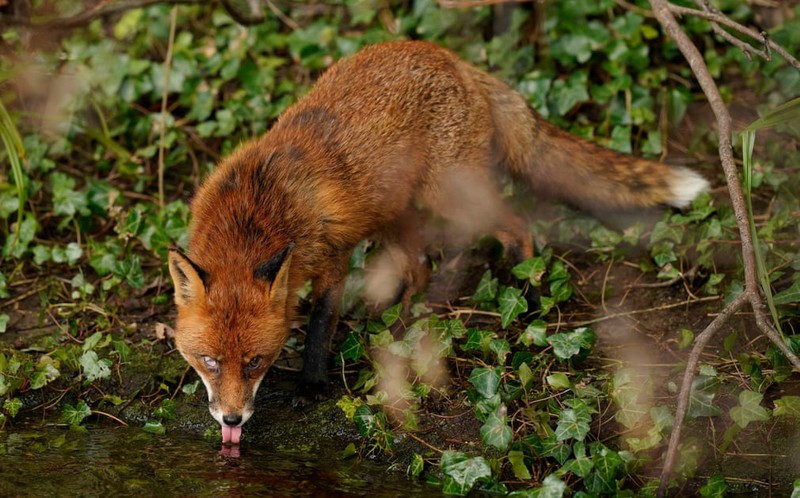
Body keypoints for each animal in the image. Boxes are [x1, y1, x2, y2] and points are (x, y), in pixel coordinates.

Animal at [167, 39, 708, 444]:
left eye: (255, 362)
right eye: (209, 361)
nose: (232, 420)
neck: (257, 213)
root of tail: (453, 58)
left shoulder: (332, 257)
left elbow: (320, 325)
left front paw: (312, 384)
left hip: (449, 194)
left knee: (517, 226)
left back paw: (528, 291)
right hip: (396, 210)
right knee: (421, 265)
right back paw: (402, 320)